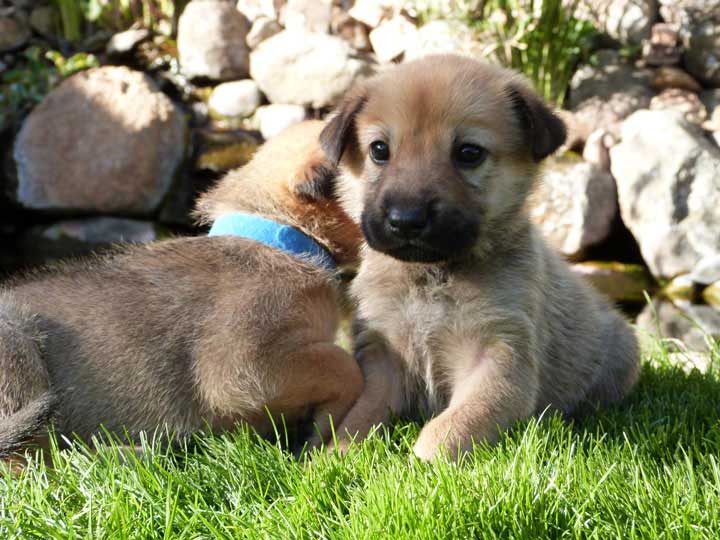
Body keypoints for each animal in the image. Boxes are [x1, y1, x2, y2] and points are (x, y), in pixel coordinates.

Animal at [318, 53, 640, 460]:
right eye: (379, 150)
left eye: (468, 153)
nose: (406, 220)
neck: (433, 276)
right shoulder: (383, 357)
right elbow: (360, 415)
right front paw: (335, 455)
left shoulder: (501, 358)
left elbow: (453, 425)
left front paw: (420, 463)